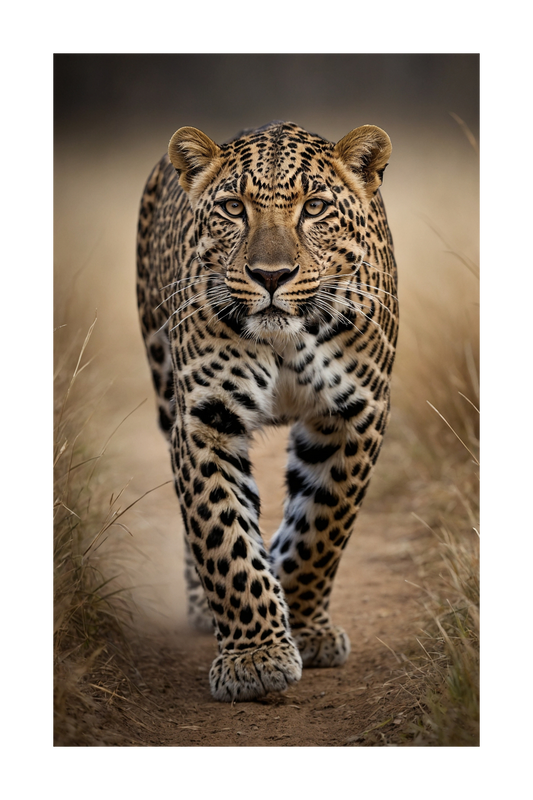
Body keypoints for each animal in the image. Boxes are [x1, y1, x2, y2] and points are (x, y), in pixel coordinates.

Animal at [136, 120, 398, 702]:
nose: (271, 276)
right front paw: (255, 658)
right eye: (234, 208)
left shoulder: (354, 413)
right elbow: (221, 536)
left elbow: (322, 527)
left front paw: (302, 626)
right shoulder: (205, 419)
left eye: (315, 207)